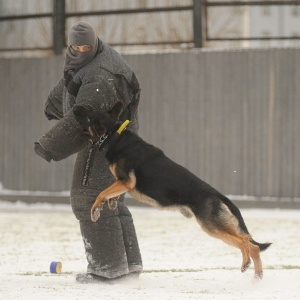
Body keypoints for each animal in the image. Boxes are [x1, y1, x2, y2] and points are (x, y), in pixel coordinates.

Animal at [73, 102, 272, 280]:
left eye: (89, 114)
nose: (75, 107)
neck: (114, 134)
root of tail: (218, 194)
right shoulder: (121, 183)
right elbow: (109, 193)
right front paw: (109, 203)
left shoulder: (125, 182)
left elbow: (101, 193)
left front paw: (95, 209)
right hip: (220, 226)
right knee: (246, 242)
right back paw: (251, 269)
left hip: (212, 227)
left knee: (250, 245)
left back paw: (254, 273)